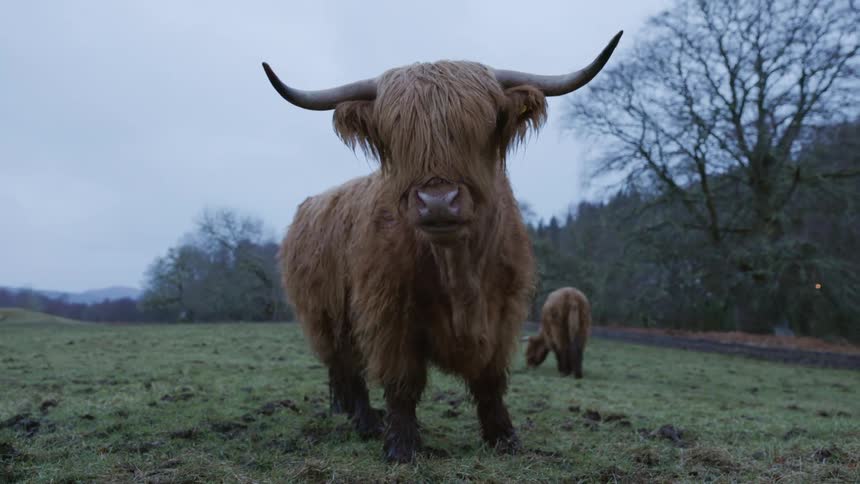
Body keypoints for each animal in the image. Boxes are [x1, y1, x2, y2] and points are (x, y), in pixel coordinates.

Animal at [262, 31, 621, 463]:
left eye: (483, 124)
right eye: (395, 136)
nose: (437, 202)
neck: (457, 268)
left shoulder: (503, 313)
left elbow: (490, 382)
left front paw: (505, 438)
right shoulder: (388, 312)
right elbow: (401, 382)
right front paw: (402, 446)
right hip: (325, 315)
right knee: (347, 367)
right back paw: (364, 420)